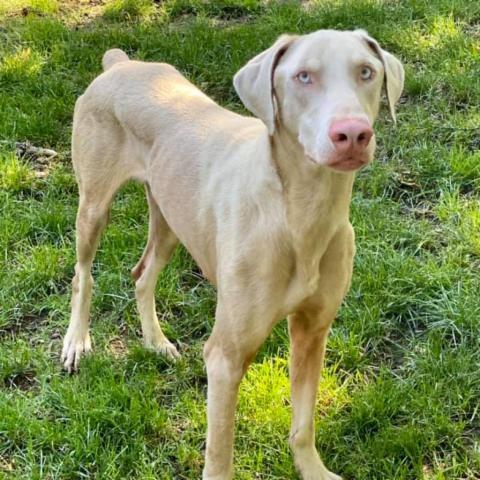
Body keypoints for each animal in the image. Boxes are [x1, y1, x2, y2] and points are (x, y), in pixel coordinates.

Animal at [62, 30, 404, 480]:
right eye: (303, 76)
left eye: (366, 72)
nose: (352, 133)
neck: (301, 214)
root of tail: (122, 64)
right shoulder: (225, 357)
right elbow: (220, 453)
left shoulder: (313, 331)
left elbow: (304, 422)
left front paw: (312, 468)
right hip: (94, 205)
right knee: (83, 274)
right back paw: (76, 342)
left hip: (171, 215)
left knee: (142, 273)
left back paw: (155, 342)